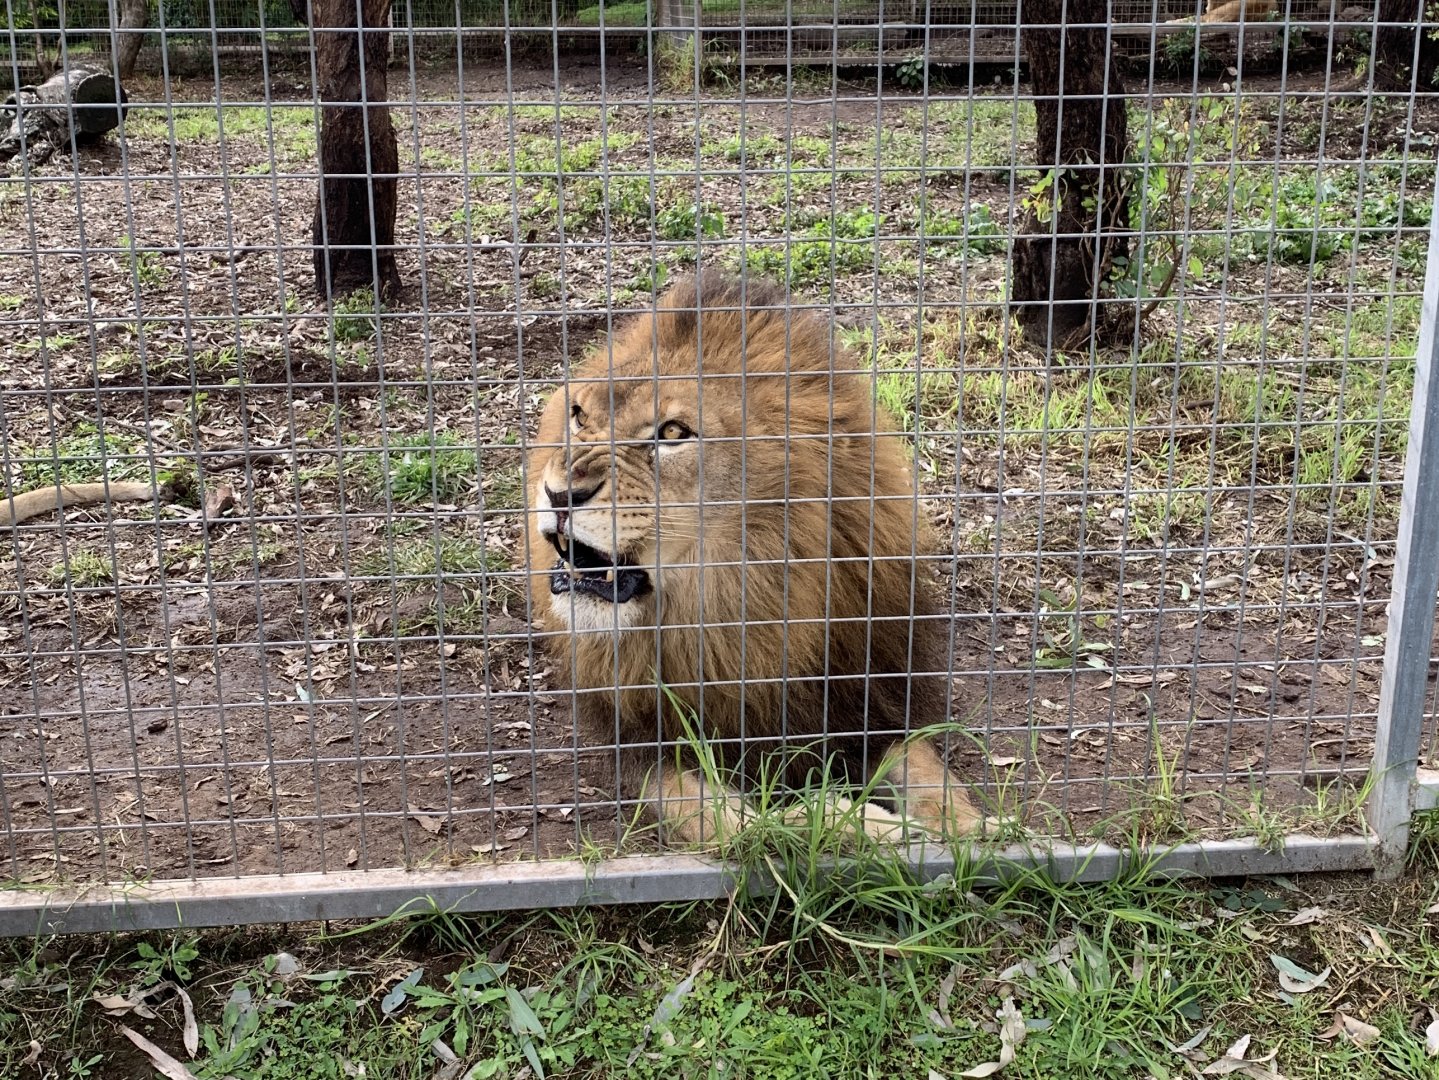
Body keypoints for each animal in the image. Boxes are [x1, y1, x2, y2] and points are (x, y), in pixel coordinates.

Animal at [523, 271, 983, 846]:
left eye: (672, 433)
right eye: (579, 415)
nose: (559, 494)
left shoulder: (869, 703)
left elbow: (929, 773)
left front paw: (982, 830)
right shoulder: (646, 748)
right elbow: (755, 824)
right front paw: (877, 830)